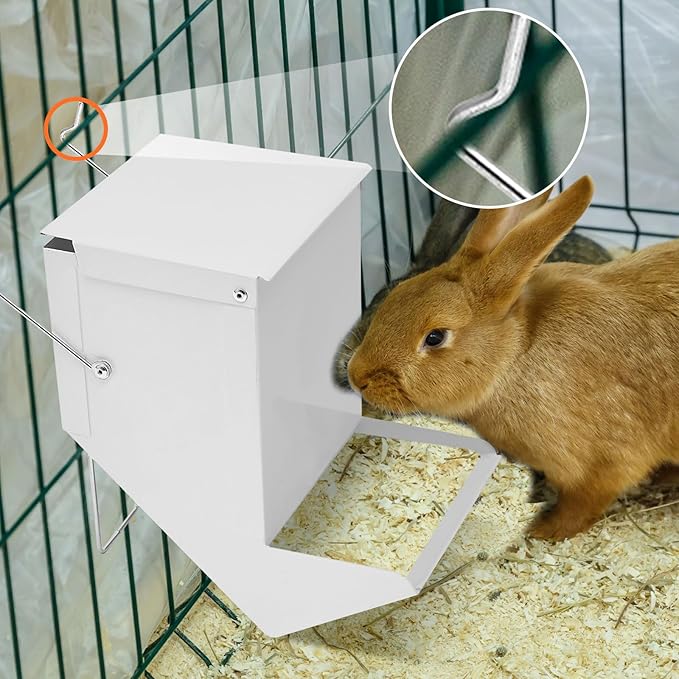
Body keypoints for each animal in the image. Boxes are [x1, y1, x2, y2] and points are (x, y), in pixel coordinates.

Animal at [346, 176, 679, 540]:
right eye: (394, 295)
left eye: (435, 337)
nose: (356, 376)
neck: (512, 356)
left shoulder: (605, 463)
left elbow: (581, 506)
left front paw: (541, 531)